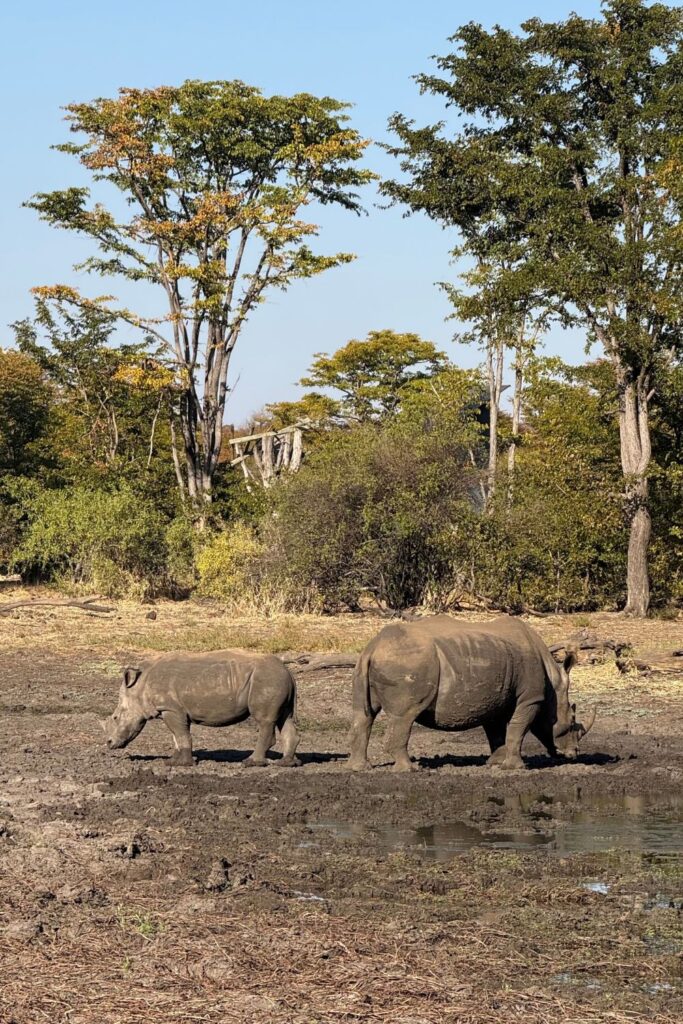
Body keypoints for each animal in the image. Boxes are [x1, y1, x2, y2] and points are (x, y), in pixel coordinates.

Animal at [103, 650, 300, 767]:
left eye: (115, 717)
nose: (109, 743)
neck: (140, 686)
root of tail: (288, 671)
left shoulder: (171, 708)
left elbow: (181, 734)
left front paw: (183, 764)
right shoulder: (173, 710)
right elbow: (176, 736)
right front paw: (172, 761)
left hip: (266, 679)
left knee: (265, 720)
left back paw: (251, 762)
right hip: (276, 679)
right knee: (285, 718)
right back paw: (286, 763)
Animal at [348, 615, 595, 771]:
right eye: (571, 720)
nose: (574, 753)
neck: (554, 686)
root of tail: (373, 647)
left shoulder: (497, 696)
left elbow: (496, 731)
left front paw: (495, 763)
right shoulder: (531, 698)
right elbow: (517, 729)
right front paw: (515, 767)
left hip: (369, 663)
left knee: (364, 715)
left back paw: (360, 768)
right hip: (408, 662)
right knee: (405, 717)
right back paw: (410, 769)